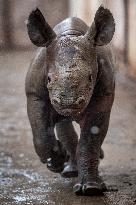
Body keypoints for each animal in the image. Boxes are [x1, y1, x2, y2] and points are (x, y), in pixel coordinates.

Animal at [25, 6, 115, 195]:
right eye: (49, 79)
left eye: (90, 78)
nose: (68, 103)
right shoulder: (35, 94)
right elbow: (40, 133)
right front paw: (57, 161)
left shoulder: (104, 94)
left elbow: (90, 140)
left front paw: (91, 189)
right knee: (62, 123)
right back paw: (67, 170)